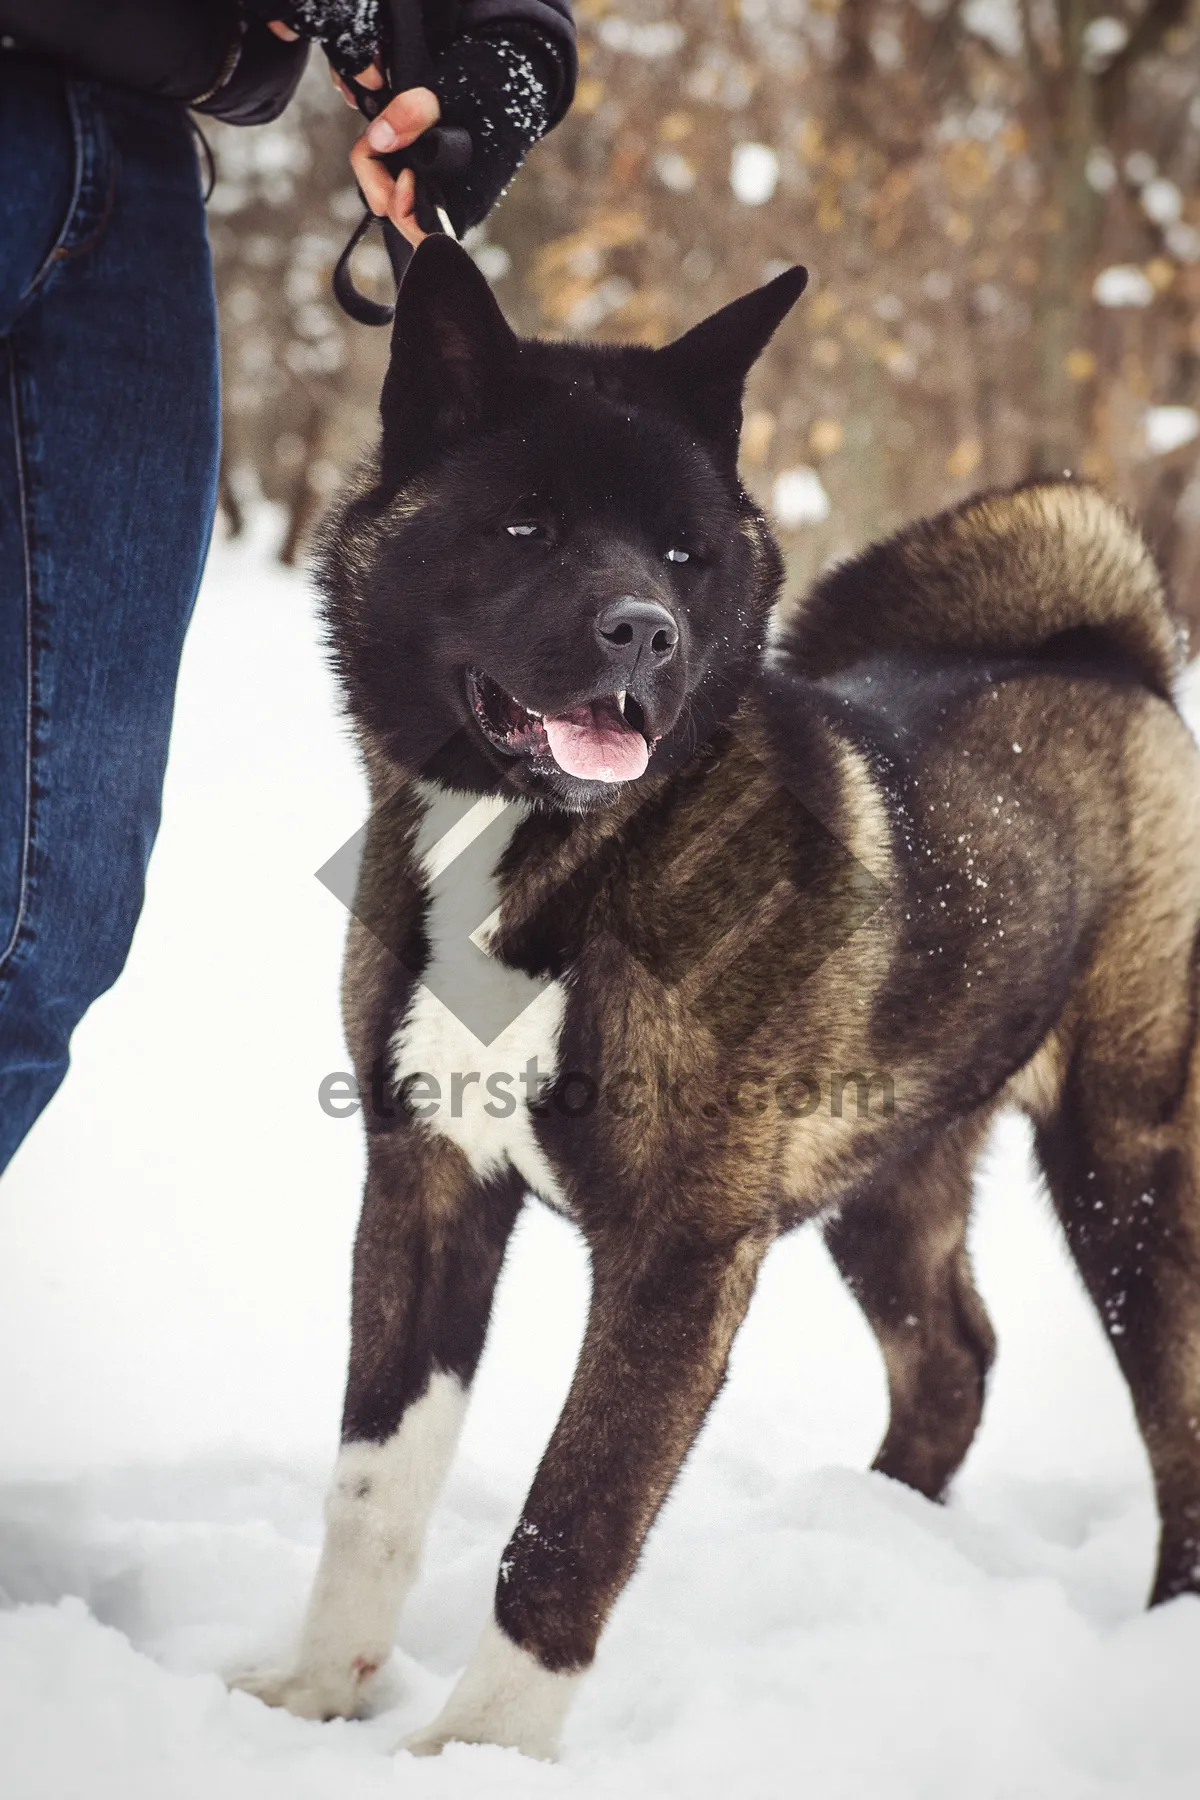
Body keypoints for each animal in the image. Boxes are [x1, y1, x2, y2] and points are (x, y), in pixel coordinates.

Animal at [233, 235, 1200, 1756]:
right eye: (526, 527)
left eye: (687, 554)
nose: (644, 633)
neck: (552, 858)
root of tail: (1112, 658)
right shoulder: (426, 1184)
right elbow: (373, 1483)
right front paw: (321, 1697)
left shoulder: (677, 1257)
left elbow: (572, 1520)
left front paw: (482, 1754)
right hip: (889, 1180)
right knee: (954, 1358)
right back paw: (879, 1534)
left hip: (1124, 1166)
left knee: (1174, 1406)